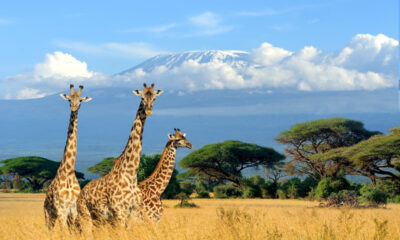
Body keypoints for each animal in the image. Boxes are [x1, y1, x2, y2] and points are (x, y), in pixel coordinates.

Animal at [43, 85, 92, 231]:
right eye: (69, 100)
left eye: (80, 100)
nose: (74, 108)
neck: (69, 172)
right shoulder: (61, 210)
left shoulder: (74, 210)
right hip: (49, 215)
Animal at [76, 83, 163, 230]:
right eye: (142, 97)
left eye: (155, 98)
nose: (149, 110)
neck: (131, 174)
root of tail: (81, 192)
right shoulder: (119, 213)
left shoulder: (135, 213)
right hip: (85, 216)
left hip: (99, 219)